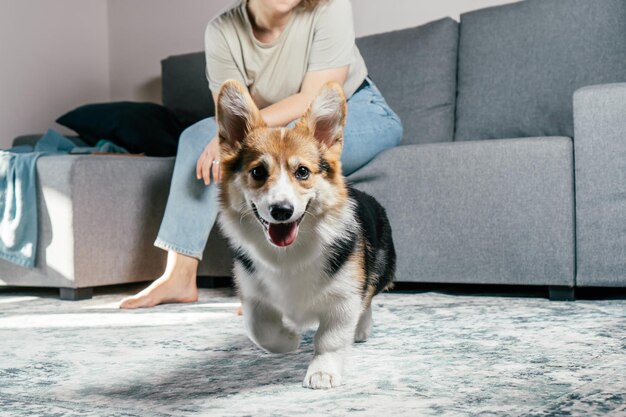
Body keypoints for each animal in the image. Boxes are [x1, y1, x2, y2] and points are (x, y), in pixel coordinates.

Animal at [212, 79, 392, 388]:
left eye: (303, 172)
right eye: (258, 172)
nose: (282, 211)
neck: (288, 253)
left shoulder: (344, 298)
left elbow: (330, 339)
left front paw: (322, 373)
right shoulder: (253, 296)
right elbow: (259, 329)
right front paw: (289, 340)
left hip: (381, 268)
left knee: (368, 298)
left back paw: (361, 328)